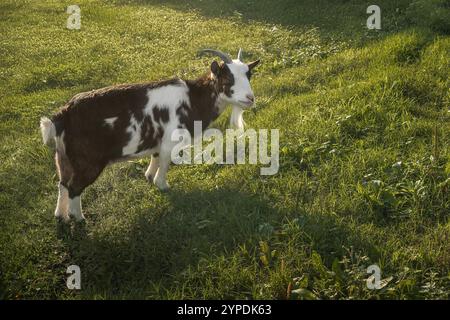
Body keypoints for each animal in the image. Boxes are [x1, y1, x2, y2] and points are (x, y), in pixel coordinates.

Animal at [40, 48, 262, 221]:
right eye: (228, 78)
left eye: (249, 75)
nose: (250, 98)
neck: (194, 99)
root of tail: (62, 115)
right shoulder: (170, 141)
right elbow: (164, 163)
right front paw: (162, 185)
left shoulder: (158, 141)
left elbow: (155, 158)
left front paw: (148, 176)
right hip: (87, 161)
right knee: (74, 187)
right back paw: (78, 218)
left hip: (63, 157)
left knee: (63, 183)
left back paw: (60, 215)